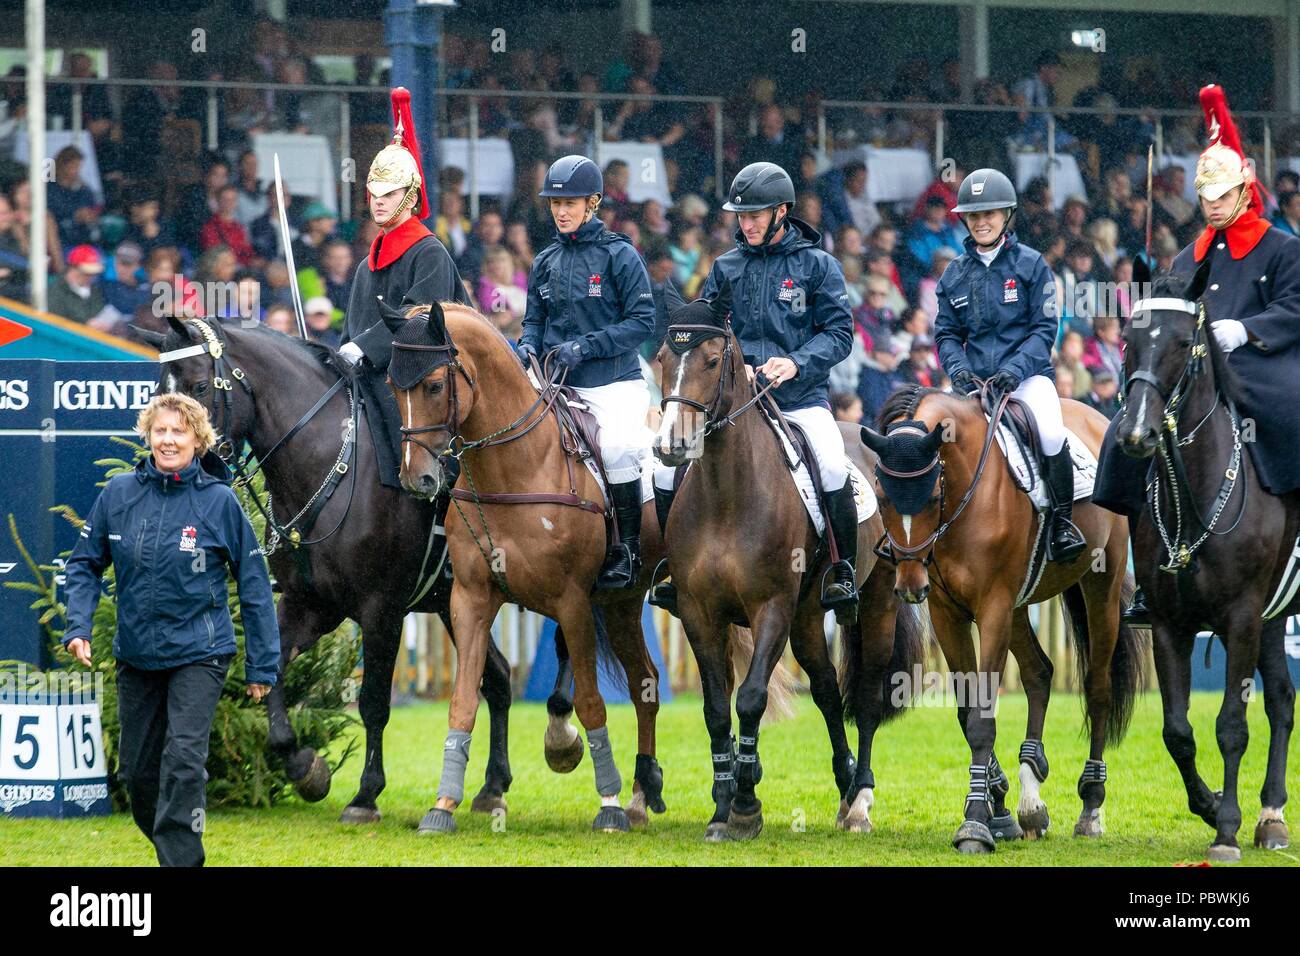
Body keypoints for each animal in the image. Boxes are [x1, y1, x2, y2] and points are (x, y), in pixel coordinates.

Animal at [650, 314, 925, 837]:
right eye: (661, 358)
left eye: (711, 361)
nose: (672, 445)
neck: (726, 493)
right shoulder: (699, 612)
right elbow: (716, 708)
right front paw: (723, 803)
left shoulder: (771, 608)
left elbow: (751, 698)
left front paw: (744, 806)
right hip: (808, 617)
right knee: (826, 692)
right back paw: (843, 785)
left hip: (875, 602)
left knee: (866, 697)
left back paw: (860, 800)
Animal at [1112, 260, 1294, 858]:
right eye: (1128, 341)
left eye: (1181, 343)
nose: (1137, 434)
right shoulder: (1170, 624)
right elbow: (1178, 731)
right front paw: (1211, 805)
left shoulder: (1239, 618)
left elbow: (1232, 725)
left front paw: (1227, 829)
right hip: (1274, 618)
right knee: (1282, 700)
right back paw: (1272, 815)